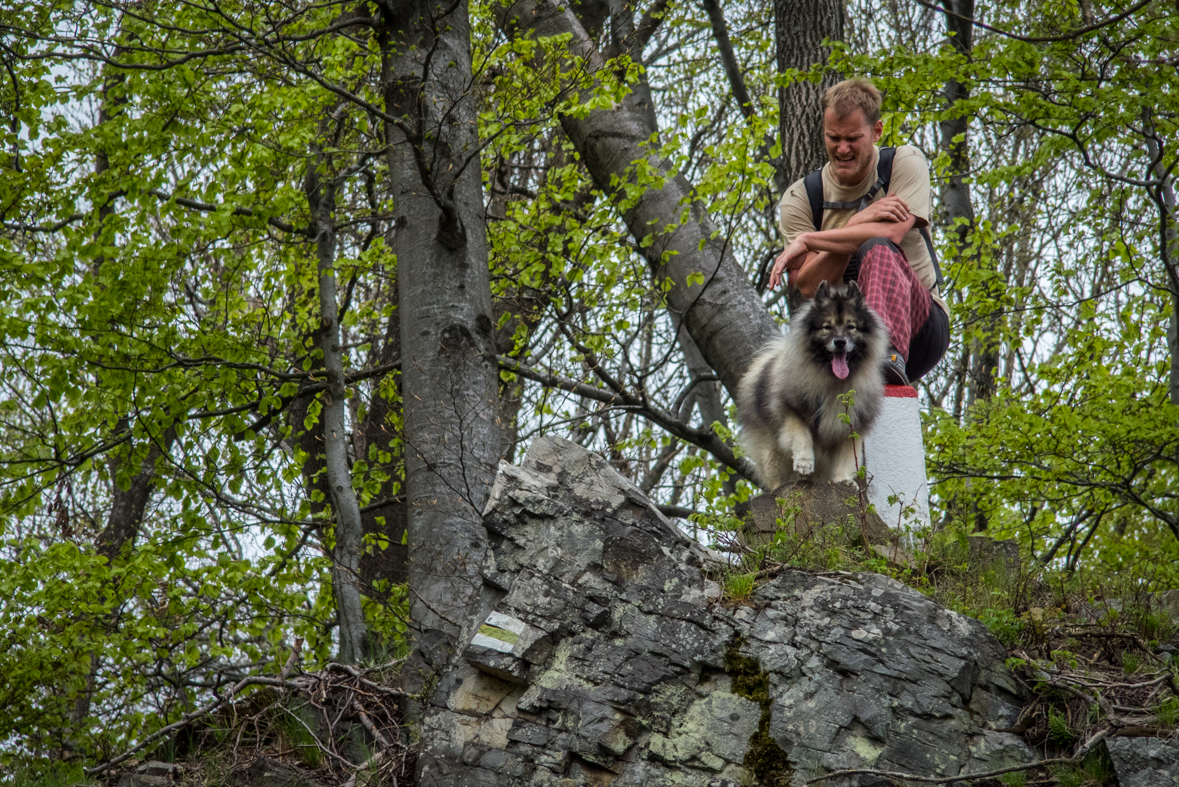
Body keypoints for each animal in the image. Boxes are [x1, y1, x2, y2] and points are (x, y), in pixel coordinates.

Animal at [735, 279, 886, 487]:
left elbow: (846, 457)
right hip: (771, 451)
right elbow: (802, 438)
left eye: (851, 327)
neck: (833, 382)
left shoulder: (852, 427)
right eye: (827, 327)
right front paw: (804, 463)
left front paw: (843, 479)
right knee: (775, 475)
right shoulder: (793, 411)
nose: (840, 342)